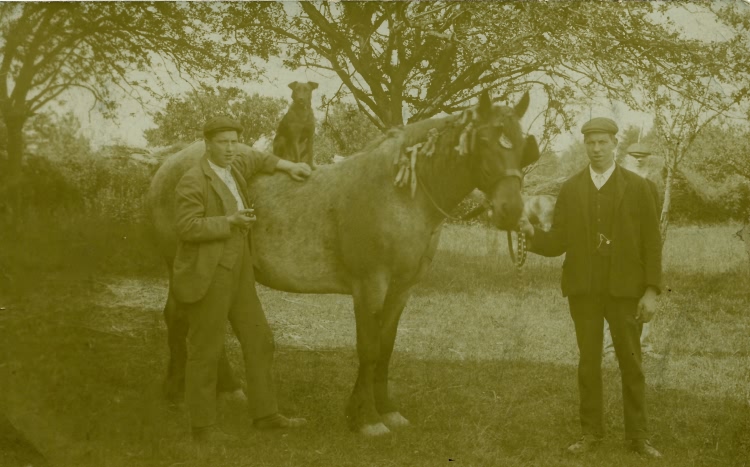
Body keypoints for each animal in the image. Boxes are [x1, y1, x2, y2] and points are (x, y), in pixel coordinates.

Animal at [148, 90, 540, 436]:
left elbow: (385, 348)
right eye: (485, 141)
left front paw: (387, 410)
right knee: (180, 319)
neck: (399, 195)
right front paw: (365, 419)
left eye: (523, 146)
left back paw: (227, 388)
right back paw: (175, 391)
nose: (511, 211)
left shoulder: (402, 289)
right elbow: (368, 349)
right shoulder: (370, 286)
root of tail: (172, 162)